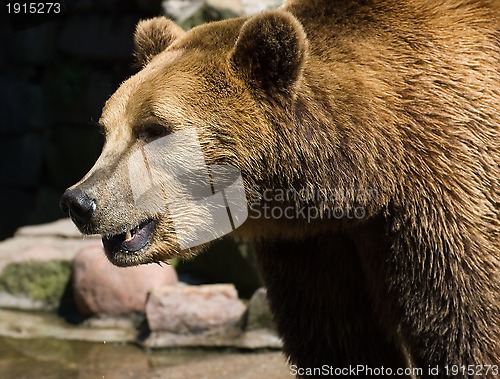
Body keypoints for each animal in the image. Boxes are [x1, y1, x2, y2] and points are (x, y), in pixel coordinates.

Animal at [60, 0, 498, 378]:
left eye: (154, 129)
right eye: (107, 130)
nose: (79, 201)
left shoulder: (446, 191)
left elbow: (466, 325)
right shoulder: (312, 243)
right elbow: (336, 336)